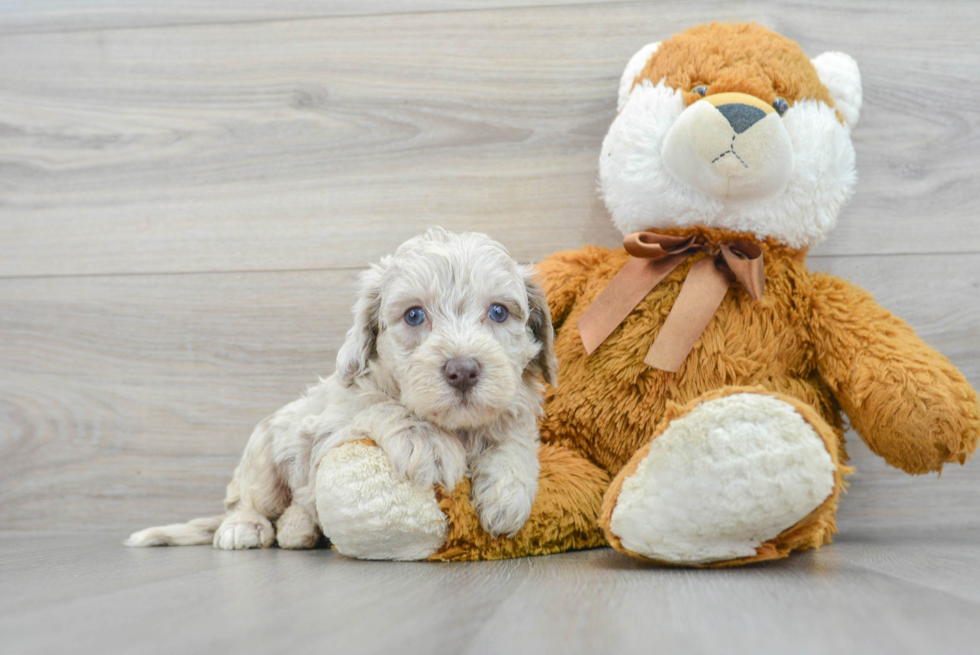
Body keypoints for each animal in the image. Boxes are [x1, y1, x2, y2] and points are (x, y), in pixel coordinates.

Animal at [128, 228, 560, 552]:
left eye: (499, 311)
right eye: (414, 315)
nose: (463, 371)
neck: (459, 427)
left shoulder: (513, 407)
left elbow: (513, 436)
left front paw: (508, 490)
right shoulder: (333, 417)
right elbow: (380, 404)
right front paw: (428, 440)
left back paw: (298, 528)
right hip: (263, 454)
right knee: (249, 500)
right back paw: (247, 527)